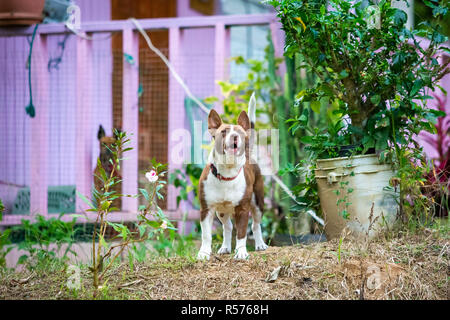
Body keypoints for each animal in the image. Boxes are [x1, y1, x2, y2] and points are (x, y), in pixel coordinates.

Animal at [197, 93, 268, 260]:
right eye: (223, 132)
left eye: (240, 132)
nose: (235, 136)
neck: (226, 174)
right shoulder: (206, 209)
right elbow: (206, 235)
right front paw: (204, 253)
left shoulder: (242, 209)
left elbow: (241, 233)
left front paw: (241, 252)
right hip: (221, 210)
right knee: (227, 226)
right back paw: (225, 247)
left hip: (258, 203)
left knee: (256, 224)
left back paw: (260, 244)